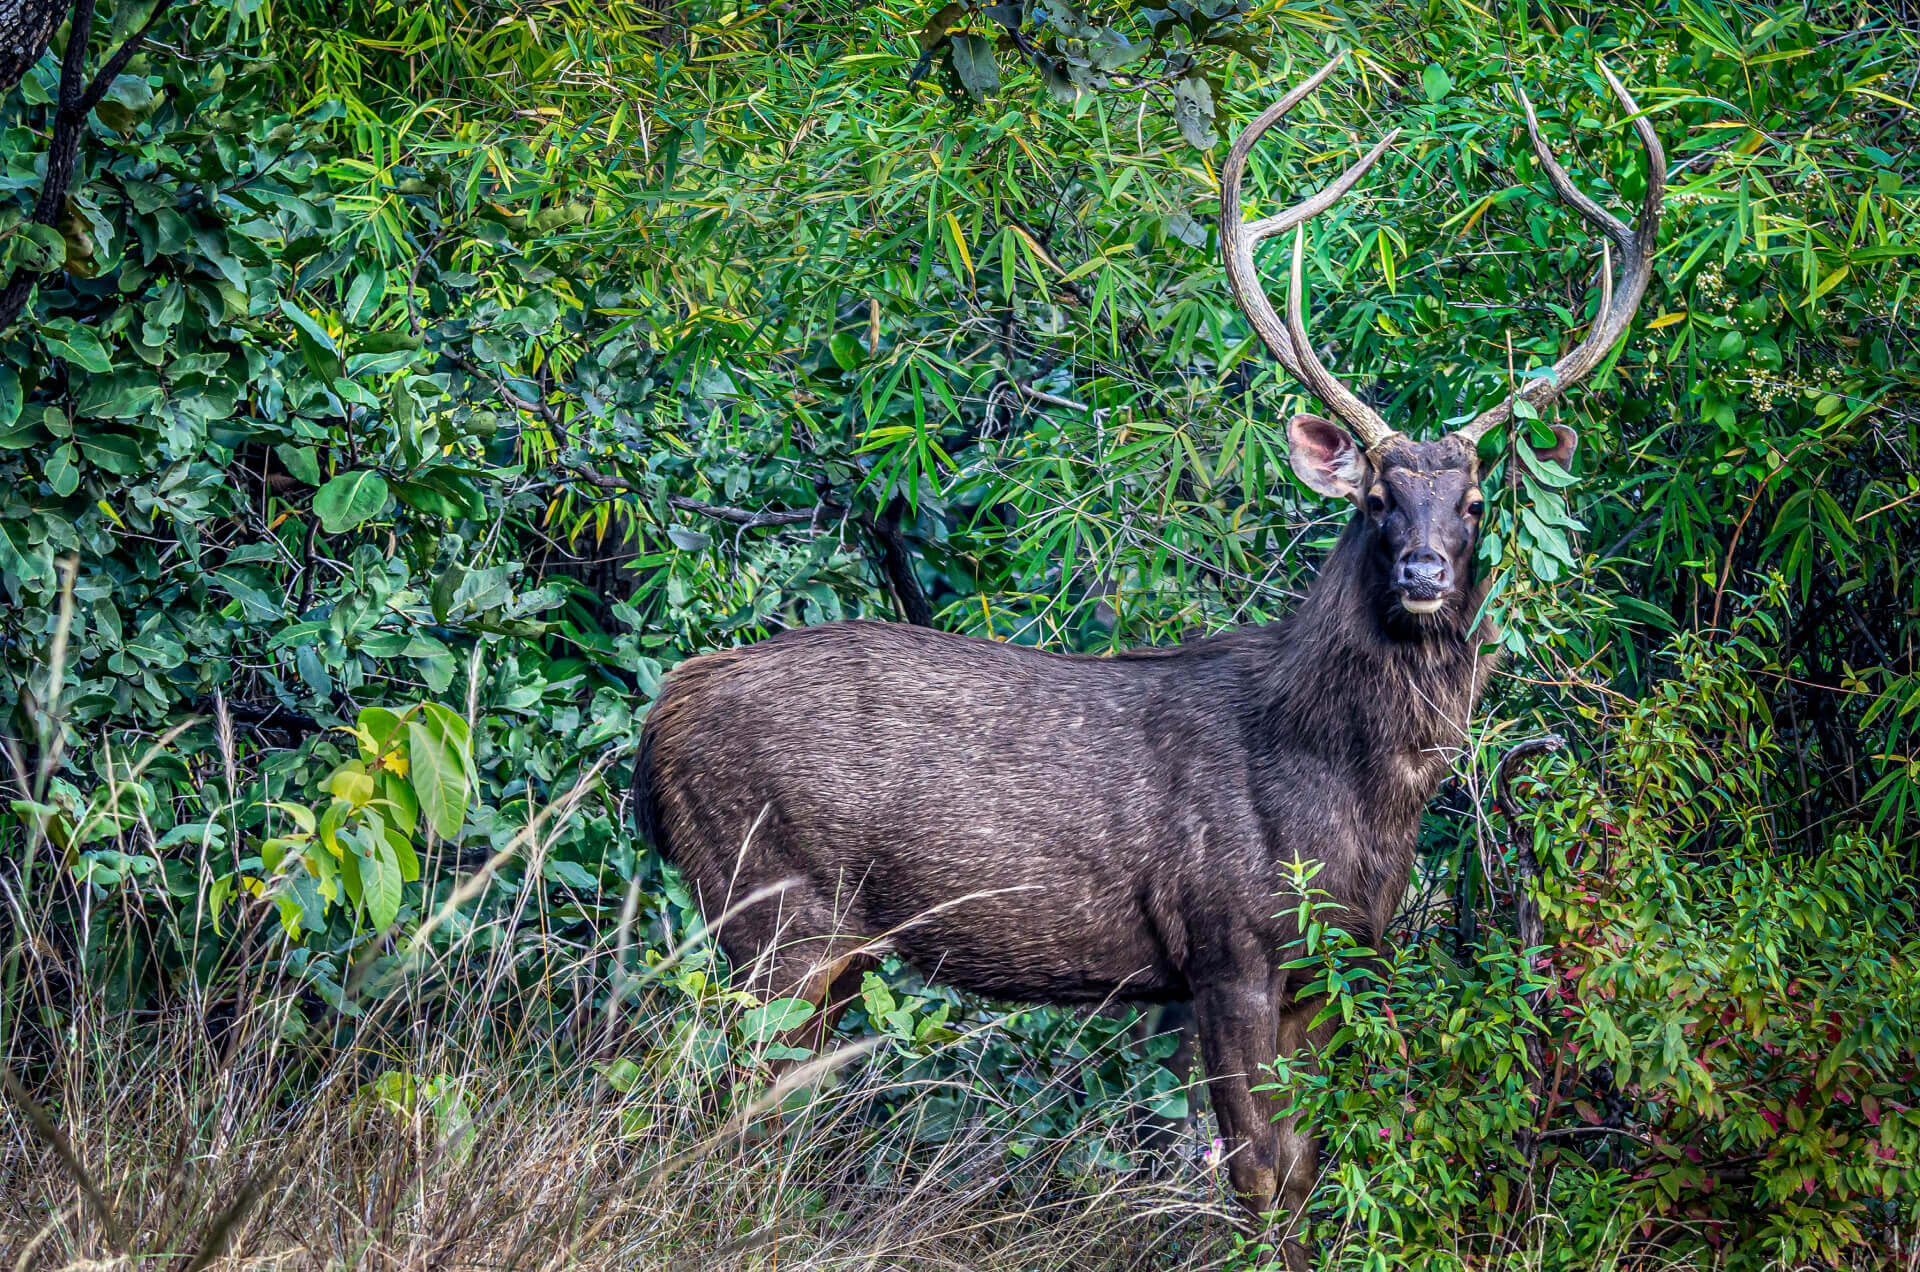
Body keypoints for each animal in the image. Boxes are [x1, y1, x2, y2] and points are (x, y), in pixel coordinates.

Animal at [633, 47, 1666, 1268]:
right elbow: (1258, 1171)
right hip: (767, 906)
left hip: (811, 941)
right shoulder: (1225, 943)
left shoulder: (1334, 964)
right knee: (737, 1107)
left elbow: (1305, 1167)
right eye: (1374, 499)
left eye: (1471, 504)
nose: (1422, 573)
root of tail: (657, 723)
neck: (1350, 796)